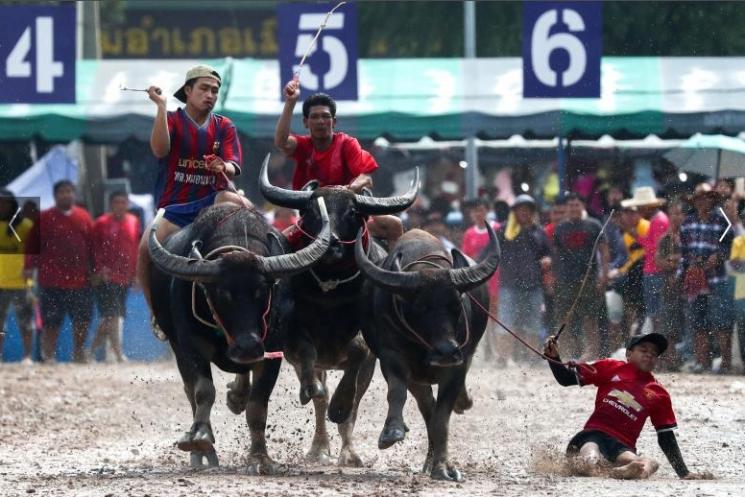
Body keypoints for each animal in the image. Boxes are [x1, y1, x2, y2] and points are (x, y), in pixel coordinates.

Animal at [148, 201, 328, 468]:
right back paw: (202, 453)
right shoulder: (190, 345)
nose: (248, 347)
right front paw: (200, 436)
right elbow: (203, 391)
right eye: (222, 294)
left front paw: (260, 458)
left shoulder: (271, 349)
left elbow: (257, 406)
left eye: (262, 291)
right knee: (190, 392)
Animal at [258, 155, 418, 464]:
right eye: (311, 210)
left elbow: (351, 389)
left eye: (352, 211)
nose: (330, 243)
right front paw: (312, 393)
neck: (331, 292)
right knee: (319, 398)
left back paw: (348, 451)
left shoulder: (367, 350)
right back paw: (319, 447)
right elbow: (311, 367)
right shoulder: (294, 340)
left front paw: (341, 413)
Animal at [354, 226, 500, 480]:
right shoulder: (392, 358)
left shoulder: (456, 367)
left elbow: (441, 419)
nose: (446, 352)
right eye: (420, 307)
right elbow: (397, 393)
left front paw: (442, 468)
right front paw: (392, 432)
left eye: (456, 306)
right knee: (426, 406)